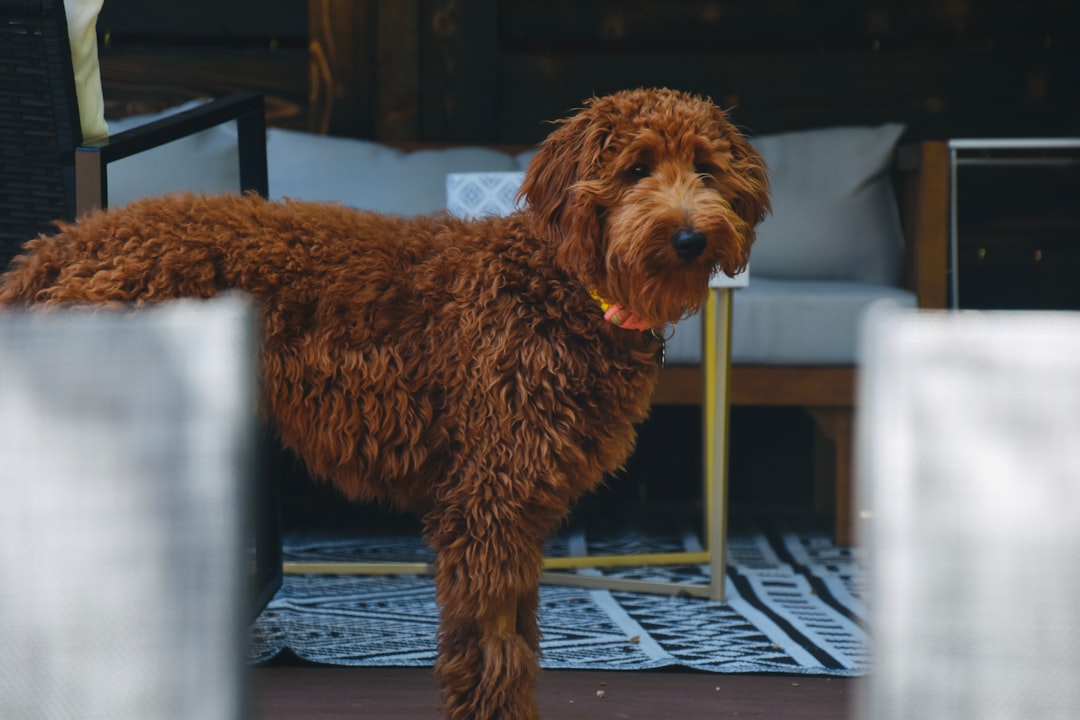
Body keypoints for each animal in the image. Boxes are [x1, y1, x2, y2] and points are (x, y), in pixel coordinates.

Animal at [4, 87, 773, 716]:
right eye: (636, 168)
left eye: (706, 169)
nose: (689, 237)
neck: (562, 286)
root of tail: (59, 247)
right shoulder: (489, 501)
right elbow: (494, 648)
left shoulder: (520, 506)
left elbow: (517, 639)